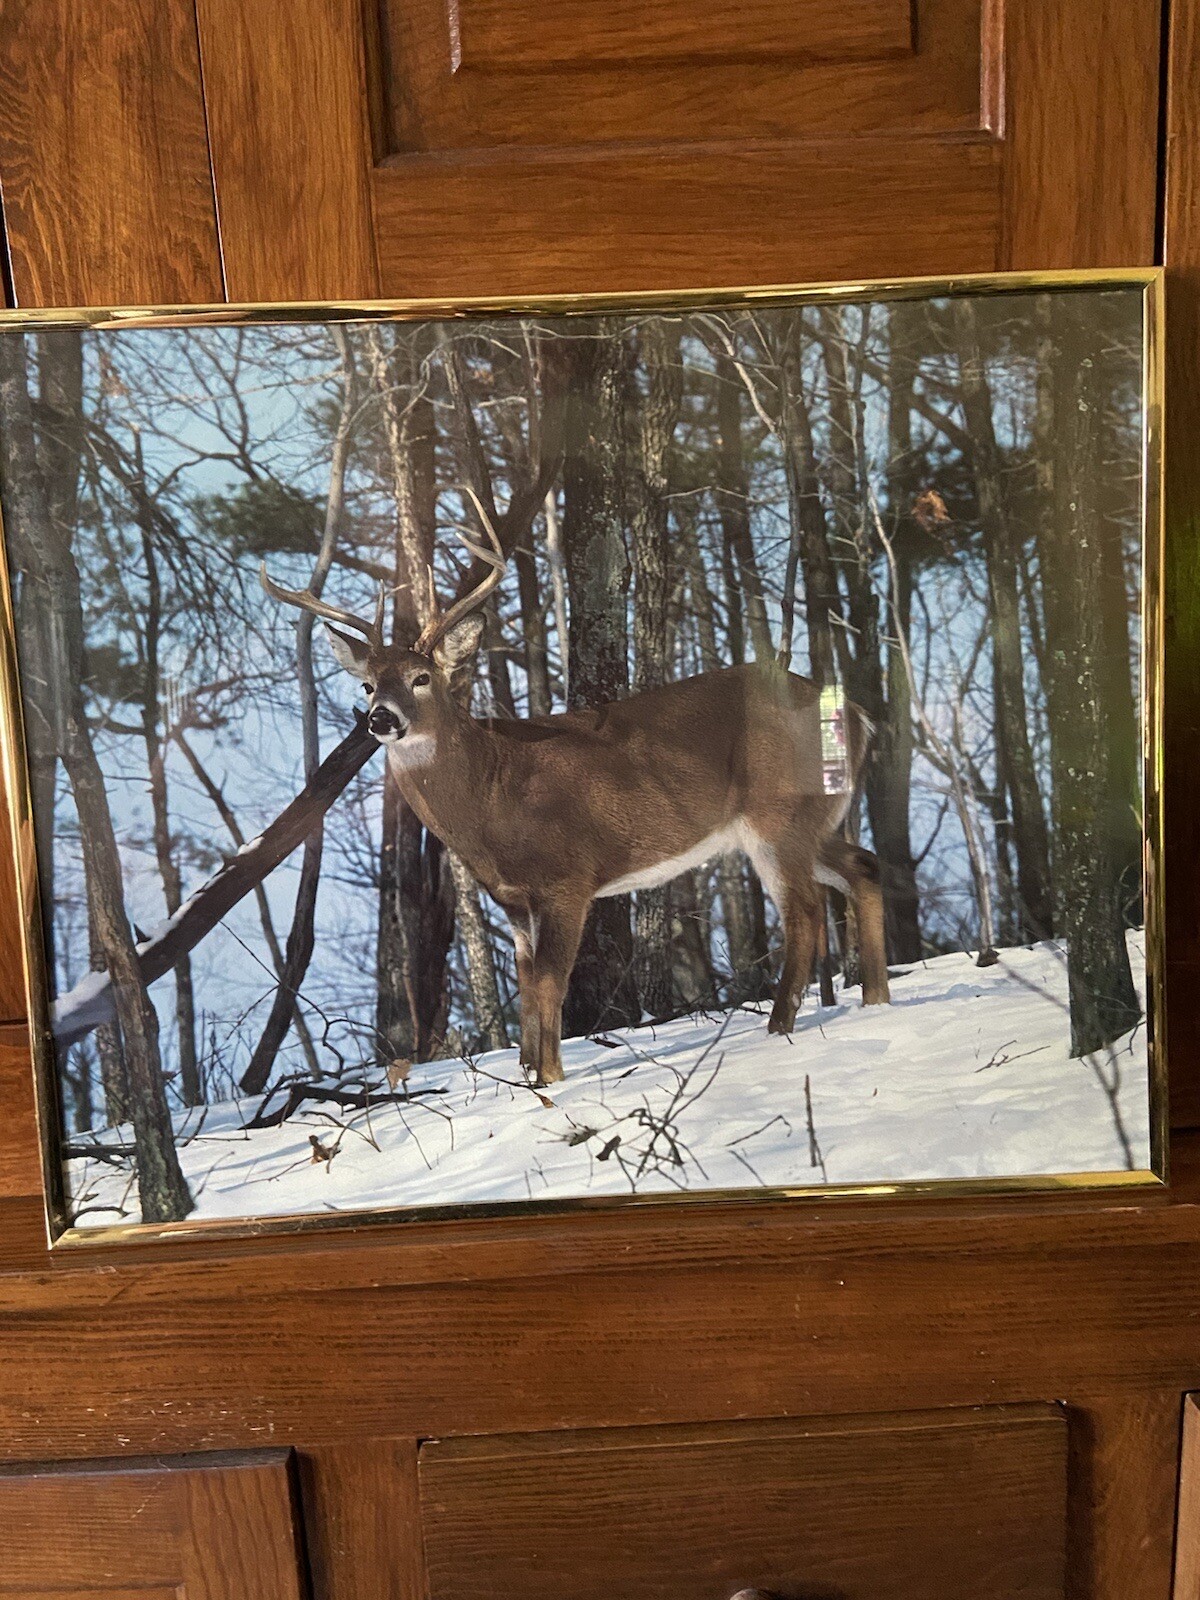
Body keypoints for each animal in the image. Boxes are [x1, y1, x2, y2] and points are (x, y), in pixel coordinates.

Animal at [261, 515, 890, 1087]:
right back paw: (877, 998)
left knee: (804, 910)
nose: (380, 719)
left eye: (422, 677)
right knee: (863, 867)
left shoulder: (566, 877)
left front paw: (551, 1079)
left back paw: (780, 1027)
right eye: (367, 684)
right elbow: (526, 990)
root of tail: (856, 714)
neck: (492, 794)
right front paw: (529, 1075)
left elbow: (550, 983)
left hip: (776, 814)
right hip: (813, 818)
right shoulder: (513, 901)